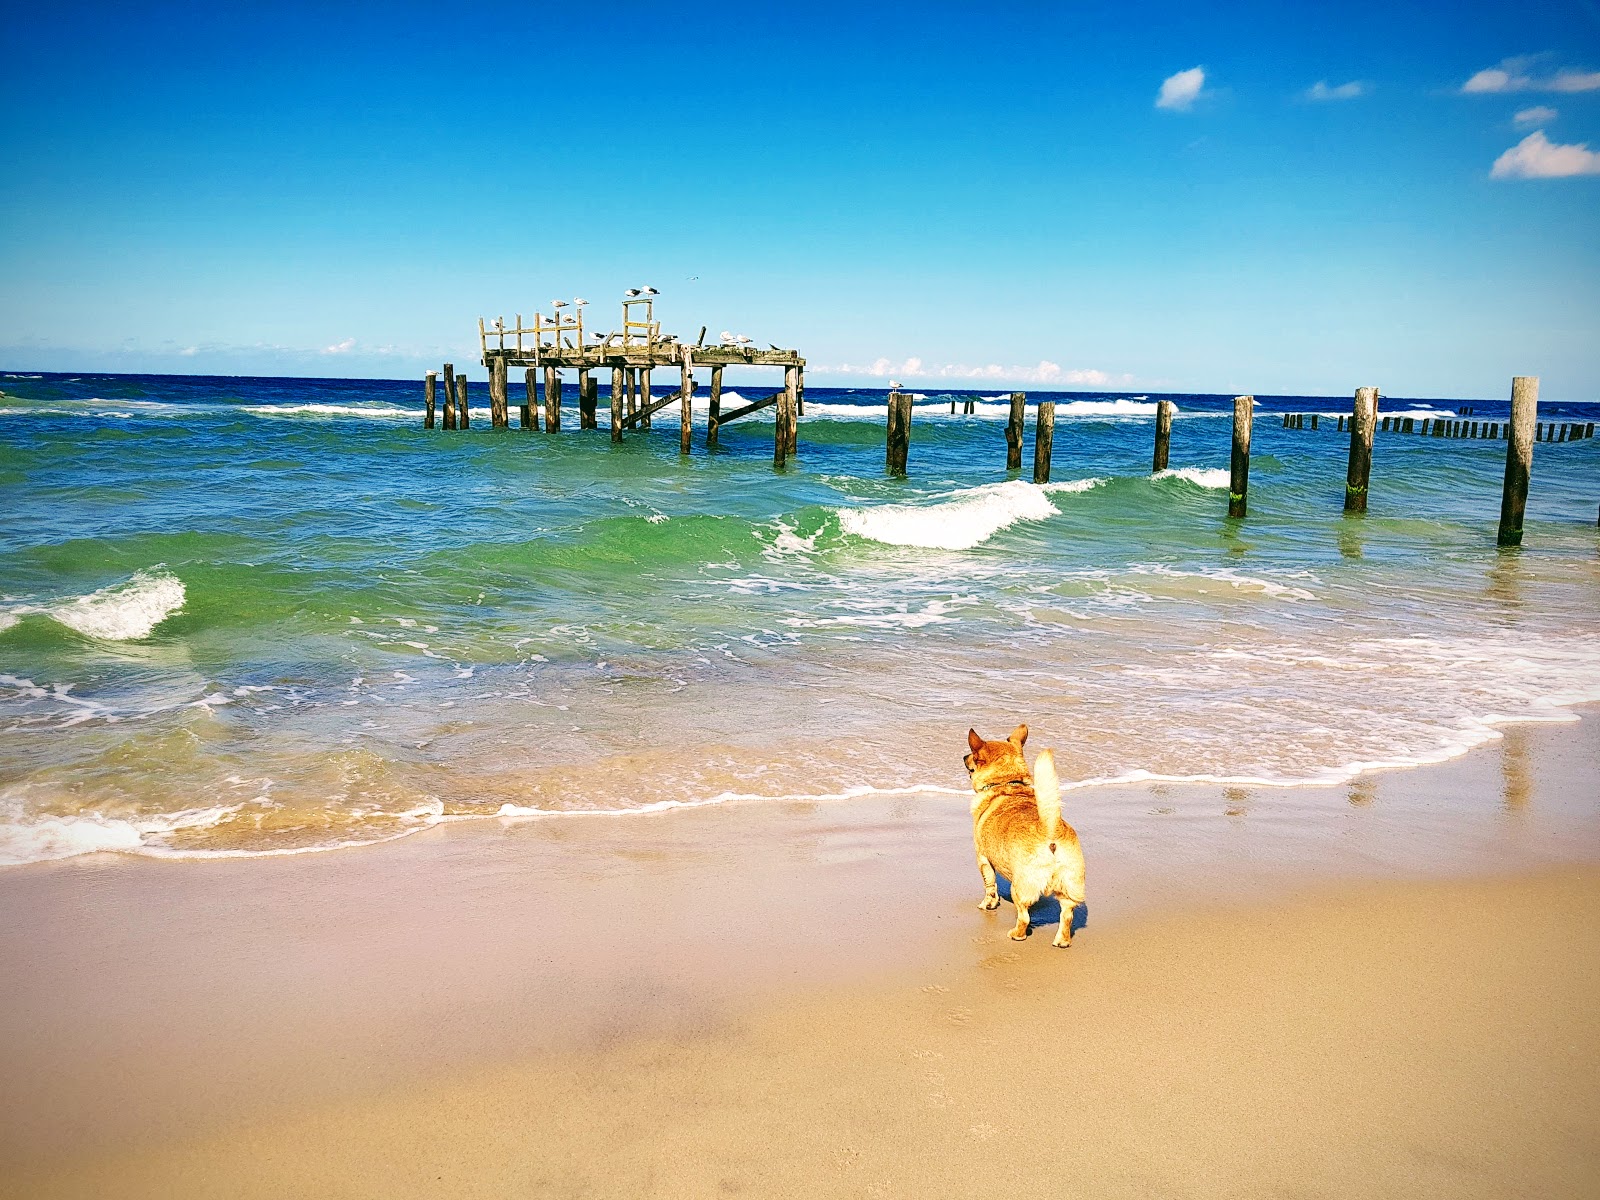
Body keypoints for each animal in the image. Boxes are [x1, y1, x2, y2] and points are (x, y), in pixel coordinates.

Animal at [960, 723, 1088, 947]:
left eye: (973, 756)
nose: (963, 756)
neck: (1007, 784)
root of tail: (1051, 828)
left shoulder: (983, 859)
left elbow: (989, 885)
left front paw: (987, 904)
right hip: (1069, 887)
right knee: (1067, 915)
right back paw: (1061, 941)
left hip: (1019, 888)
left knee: (1024, 916)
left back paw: (1016, 934)